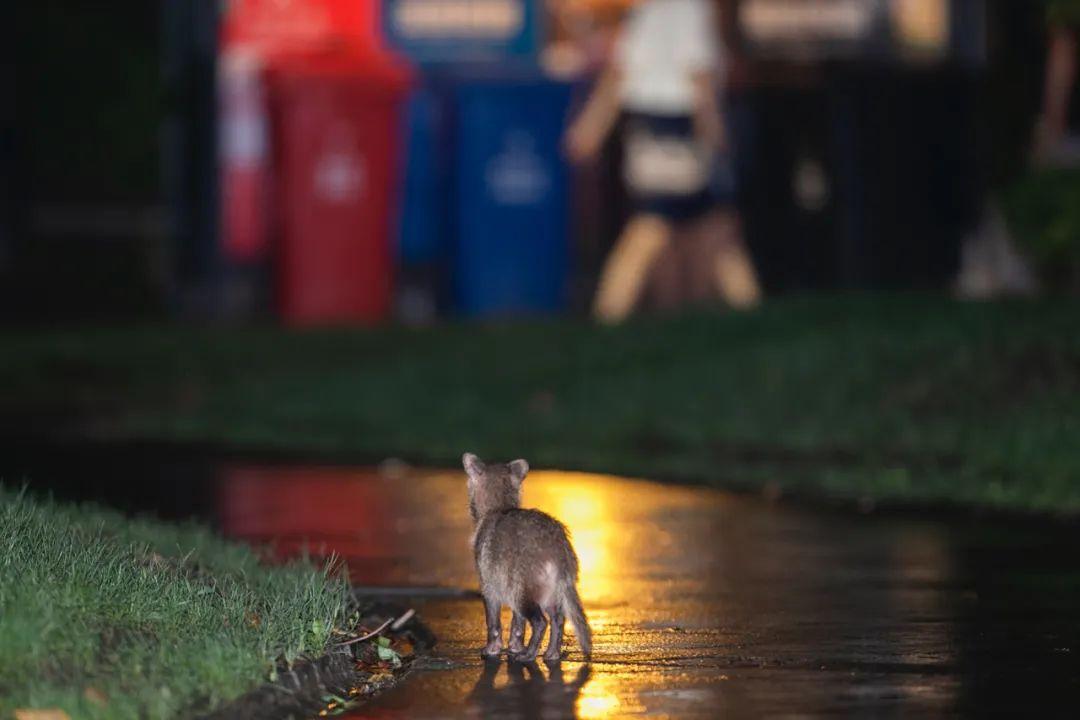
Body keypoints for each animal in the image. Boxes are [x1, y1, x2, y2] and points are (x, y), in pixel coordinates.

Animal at [462, 453, 591, 660]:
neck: (500, 507)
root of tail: (558, 549)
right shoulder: (506, 576)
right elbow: (518, 622)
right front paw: (515, 643)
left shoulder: (489, 578)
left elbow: (493, 618)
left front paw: (493, 647)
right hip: (549, 585)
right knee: (557, 617)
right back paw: (552, 650)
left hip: (526, 579)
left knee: (539, 620)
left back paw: (531, 652)